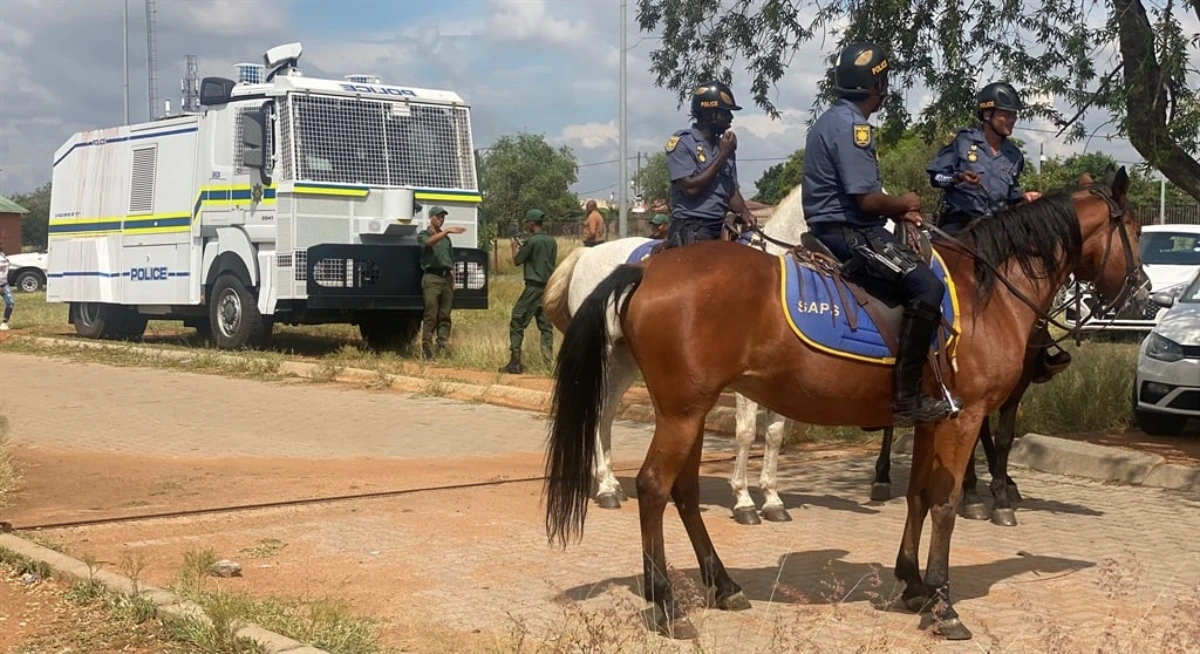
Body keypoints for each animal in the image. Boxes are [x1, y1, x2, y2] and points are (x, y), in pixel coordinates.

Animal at [544, 184, 806, 525]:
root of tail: (587, 254)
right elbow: (747, 433)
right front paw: (744, 501)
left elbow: (774, 434)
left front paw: (773, 499)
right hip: (604, 354)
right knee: (599, 410)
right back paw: (604, 487)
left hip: (624, 359)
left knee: (606, 412)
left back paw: (611, 484)